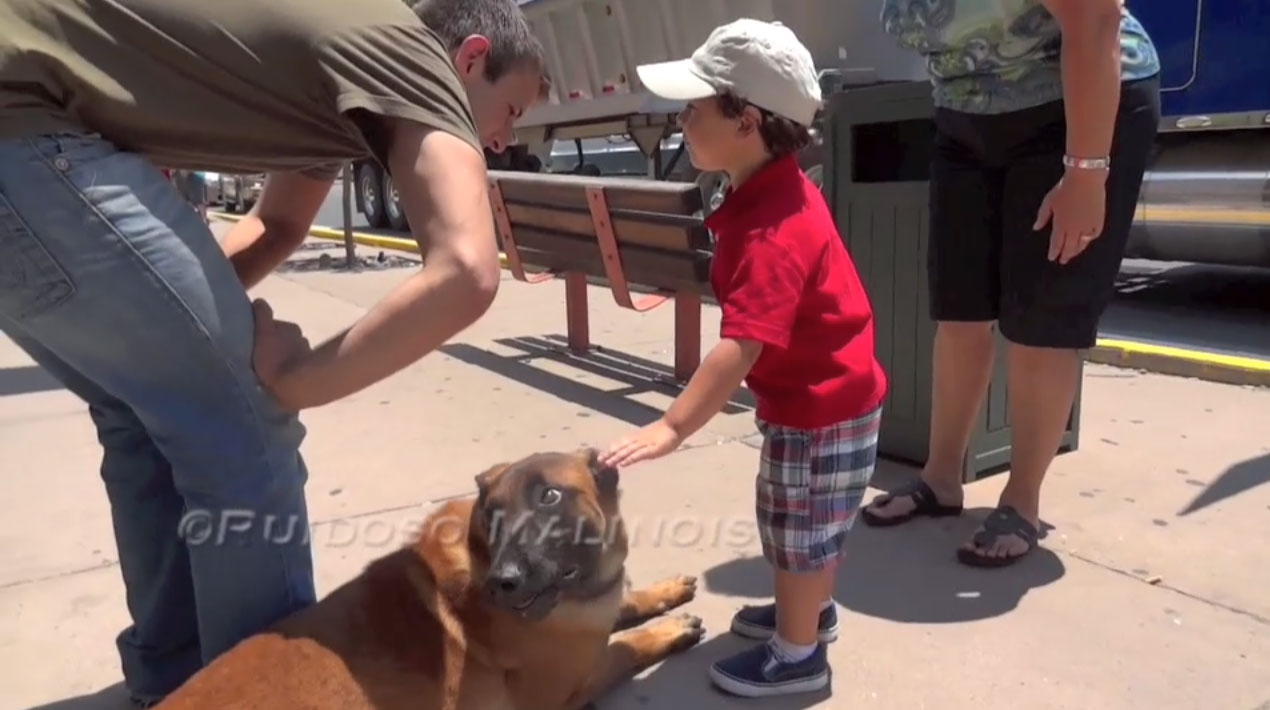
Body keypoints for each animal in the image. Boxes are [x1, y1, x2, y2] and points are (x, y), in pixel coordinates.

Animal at [153, 449, 706, 710]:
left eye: (550, 496)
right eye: (493, 514)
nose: (502, 582)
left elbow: (627, 603)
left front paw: (665, 591)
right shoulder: (564, 690)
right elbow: (626, 646)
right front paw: (669, 631)